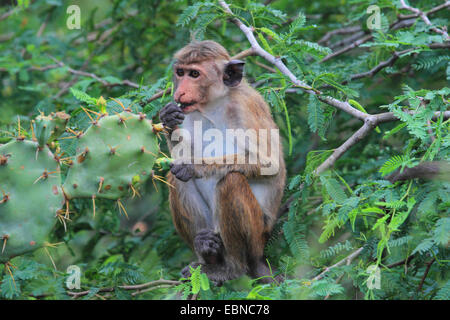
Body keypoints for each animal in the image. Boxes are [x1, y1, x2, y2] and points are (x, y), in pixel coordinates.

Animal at [158, 40, 284, 284]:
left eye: (194, 74)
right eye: (181, 72)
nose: (180, 91)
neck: (213, 105)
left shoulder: (246, 108)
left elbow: (270, 164)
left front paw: (194, 166)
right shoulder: (191, 113)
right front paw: (168, 119)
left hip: (258, 234)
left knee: (231, 181)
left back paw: (231, 268)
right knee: (176, 179)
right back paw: (207, 252)